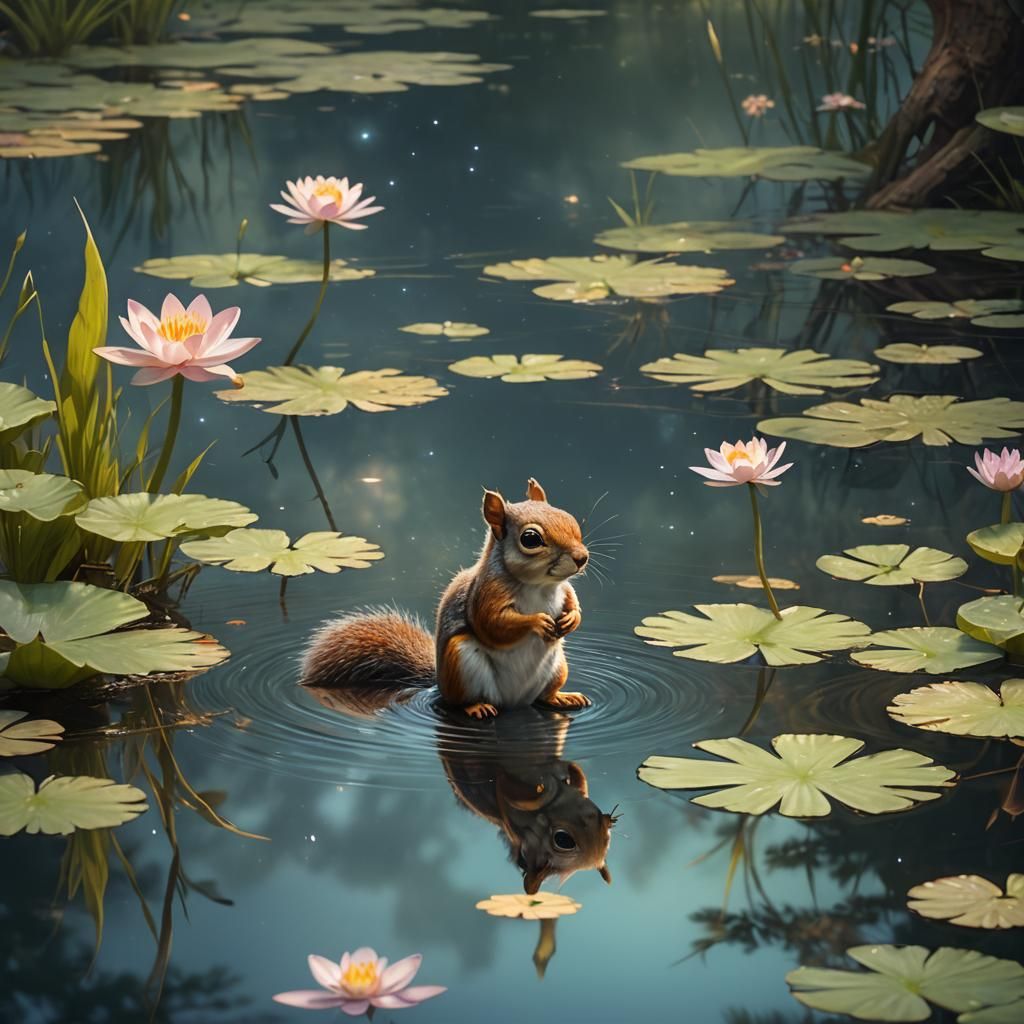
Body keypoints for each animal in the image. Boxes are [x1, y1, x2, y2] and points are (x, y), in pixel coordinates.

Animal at [301, 478, 591, 718]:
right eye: (531, 539)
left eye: (570, 519)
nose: (582, 558)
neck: (539, 585)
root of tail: (514, 702)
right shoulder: (485, 594)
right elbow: (492, 625)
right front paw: (538, 621)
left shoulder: (564, 590)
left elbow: (573, 600)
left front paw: (573, 618)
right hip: (460, 663)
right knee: (459, 702)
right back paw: (477, 707)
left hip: (558, 667)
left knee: (544, 697)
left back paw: (563, 697)